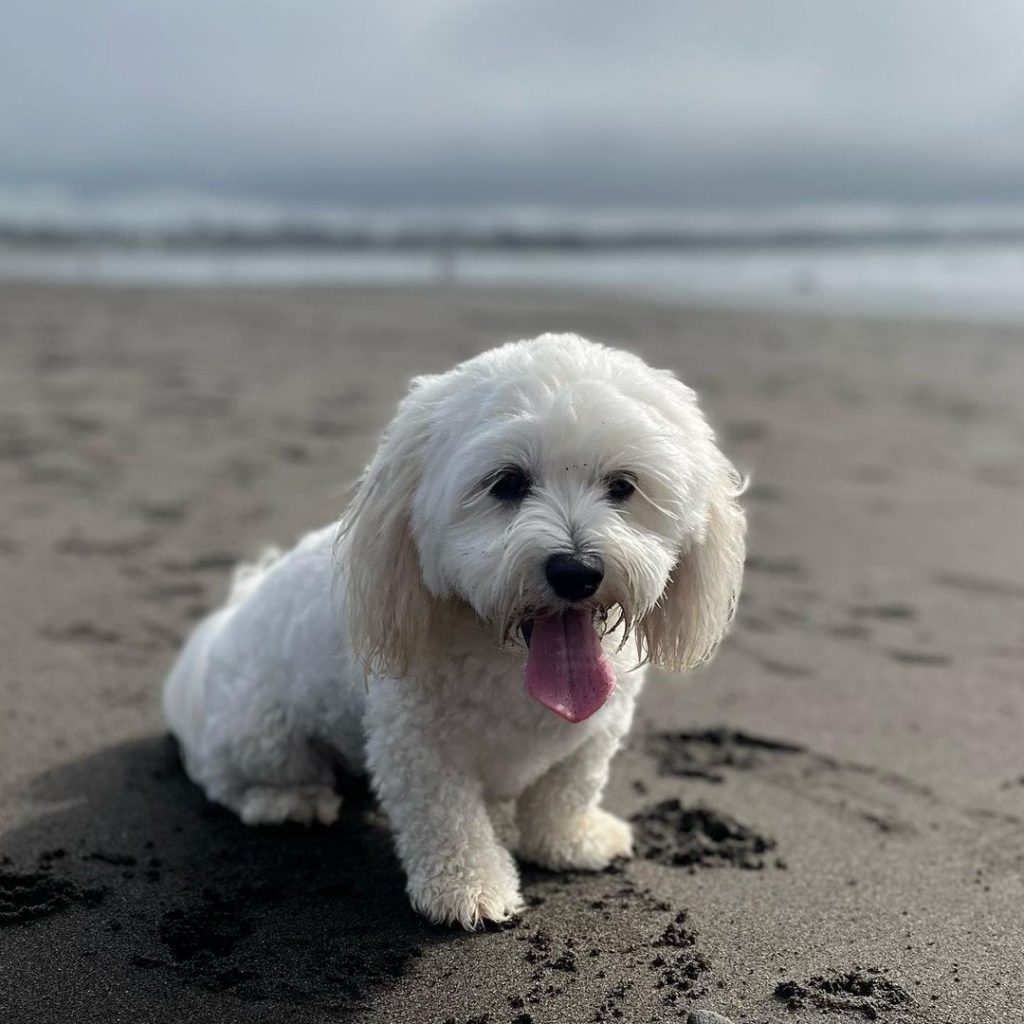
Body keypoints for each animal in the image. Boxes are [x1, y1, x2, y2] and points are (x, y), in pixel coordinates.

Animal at [163, 333, 749, 929]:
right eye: (507, 483)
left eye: (623, 486)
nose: (576, 570)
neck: (508, 657)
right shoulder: (416, 743)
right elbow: (448, 819)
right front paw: (470, 888)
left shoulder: (596, 730)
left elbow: (567, 790)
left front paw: (570, 840)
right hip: (262, 732)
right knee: (224, 775)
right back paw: (286, 800)